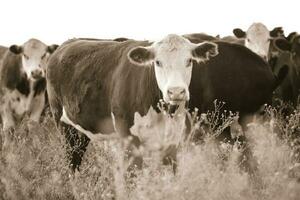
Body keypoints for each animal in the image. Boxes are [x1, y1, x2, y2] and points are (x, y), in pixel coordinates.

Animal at [46, 34, 218, 172]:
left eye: (189, 61)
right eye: (158, 62)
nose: (176, 91)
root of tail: (65, 44)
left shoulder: (173, 140)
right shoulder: (128, 138)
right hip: (64, 126)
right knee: (72, 161)